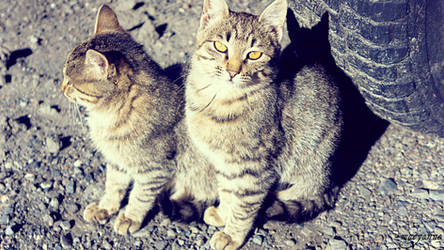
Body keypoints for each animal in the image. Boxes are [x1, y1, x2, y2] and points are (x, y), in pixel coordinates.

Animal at [61, 5, 219, 236]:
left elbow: (140, 196)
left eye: (71, 82)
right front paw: (104, 208)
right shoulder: (117, 161)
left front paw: (130, 217)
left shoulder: (155, 170)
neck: (107, 117)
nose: (62, 86)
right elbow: (113, 186)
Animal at [185, 0, 344, 249]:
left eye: (254, 54)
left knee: (308, 190)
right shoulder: (224, 163)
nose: (232, 71)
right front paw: (223, 213)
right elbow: (227, 191)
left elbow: (243, 206)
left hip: (311, 161)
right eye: (220, 46)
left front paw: (232, 235)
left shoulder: (255, 168)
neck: (218, 101)